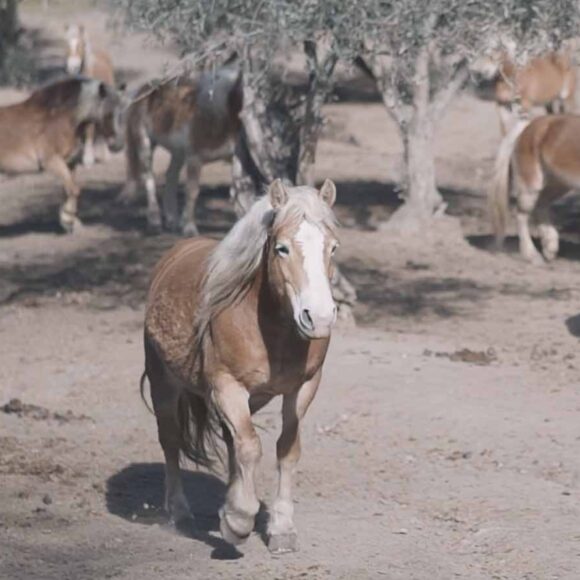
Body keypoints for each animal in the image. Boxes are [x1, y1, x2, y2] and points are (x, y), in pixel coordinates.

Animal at [0, 76, 126, 232]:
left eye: (122, 112)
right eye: (108, 113)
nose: (118, 145)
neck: (60, 118)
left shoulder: (70, 163)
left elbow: (68, 190)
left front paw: (70, 221)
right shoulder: (52, 162)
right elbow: (74, 190)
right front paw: (68, 220)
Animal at [64, 24, 118, 165]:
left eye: (81, 44)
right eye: (66, 44)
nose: (73, 67)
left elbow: (89, 130)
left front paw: (88, 158)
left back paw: (106, 155)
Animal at [120, 68, 242, 238]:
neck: (216, 117)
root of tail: (145, 89)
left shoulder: (233, 159)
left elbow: (236, 191)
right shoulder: (195, 159)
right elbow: (192, 191)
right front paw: (189, 228)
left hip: (178, 153)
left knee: (171, 175)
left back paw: (172, 220)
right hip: (145, 144)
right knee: (149, 179)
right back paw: (155, 222)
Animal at [142, 179, 338, 552]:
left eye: (333, 248)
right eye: (282, 249)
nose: (319, 318)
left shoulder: (304, 388)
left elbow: (285, 450)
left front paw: (281, 528)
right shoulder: (227, 386)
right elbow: (250, 447)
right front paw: (239, 521)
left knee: (231, 441)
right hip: (165, 384)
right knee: (172, 441)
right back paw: (181, 514)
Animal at [490, 114, 580, 262]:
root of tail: (529, 125)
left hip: (557, 185)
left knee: (541, 205)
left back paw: (550, 247)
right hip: (531, 188)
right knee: (521, 214)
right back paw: (531, 255)